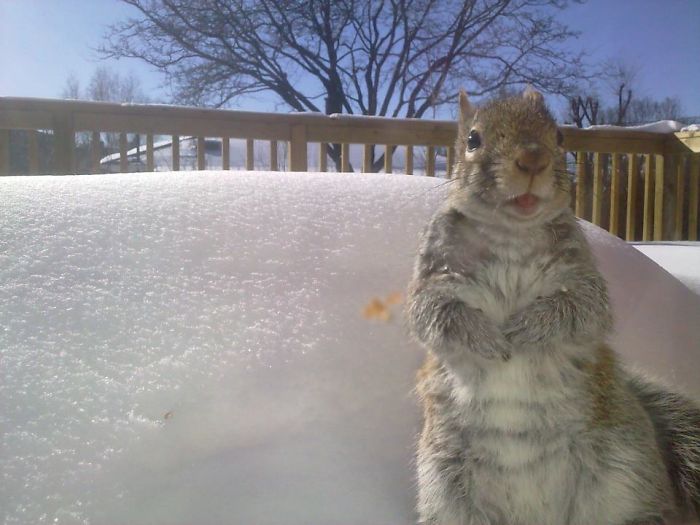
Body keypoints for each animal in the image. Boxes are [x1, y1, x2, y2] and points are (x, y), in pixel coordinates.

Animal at [406, 88, 700, 525]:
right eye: (473, 139)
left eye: (559, 136)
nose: (533, 160)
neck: (511, 233)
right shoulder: (432, 274)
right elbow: (432, 315)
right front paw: (487, 339)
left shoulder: (581, 274)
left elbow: (584, 309)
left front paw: (526, 330)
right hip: (446, 487)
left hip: (626, 470)